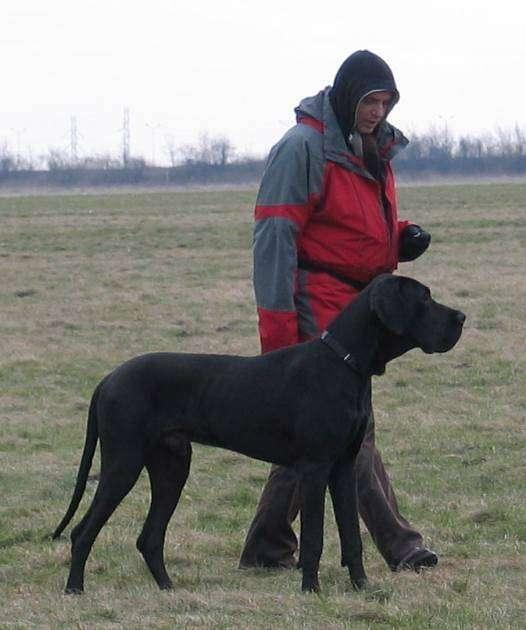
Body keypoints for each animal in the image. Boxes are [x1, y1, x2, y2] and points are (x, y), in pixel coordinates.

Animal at [53, 274, 466, 596]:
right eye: (423, 298)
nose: (461, 317)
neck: (344, 362)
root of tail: (108, 379)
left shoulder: (344, 468)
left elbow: (352, 535)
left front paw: (363, 588)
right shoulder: (315, 468)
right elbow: (315, 538)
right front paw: (311, 591)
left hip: (172, 466)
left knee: (150, 537)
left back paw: (168, 589)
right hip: (123, 463)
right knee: (82, 531)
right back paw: (75, 589)